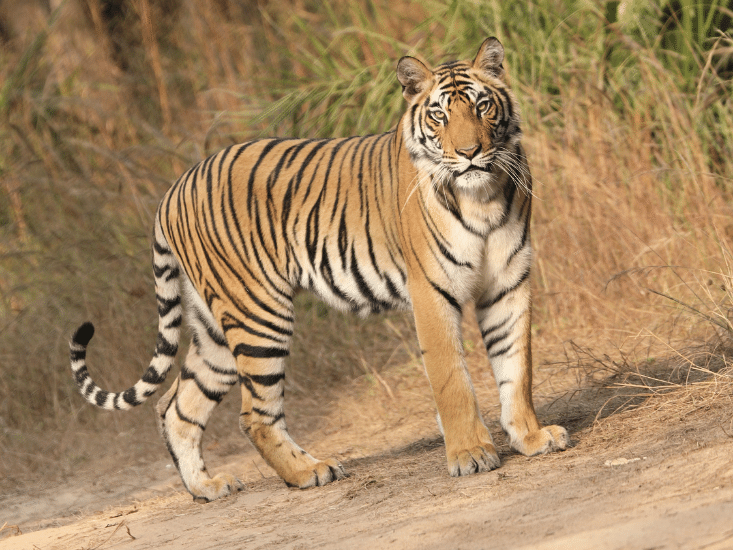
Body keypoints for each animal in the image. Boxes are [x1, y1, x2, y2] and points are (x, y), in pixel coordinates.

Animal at [68, 37, 568, 504]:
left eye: (482, 106)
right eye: (439, 116)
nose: (469, 153)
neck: (482, 196)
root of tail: (172, 188)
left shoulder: (508, 284)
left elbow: (516, 367)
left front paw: (531, 437)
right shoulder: (431, 292)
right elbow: (452, 380)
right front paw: (471, 455)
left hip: (214, 332)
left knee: (177, 408)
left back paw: (208, 487)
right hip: (258, 314)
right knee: (254, 414)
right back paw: (310, 471)